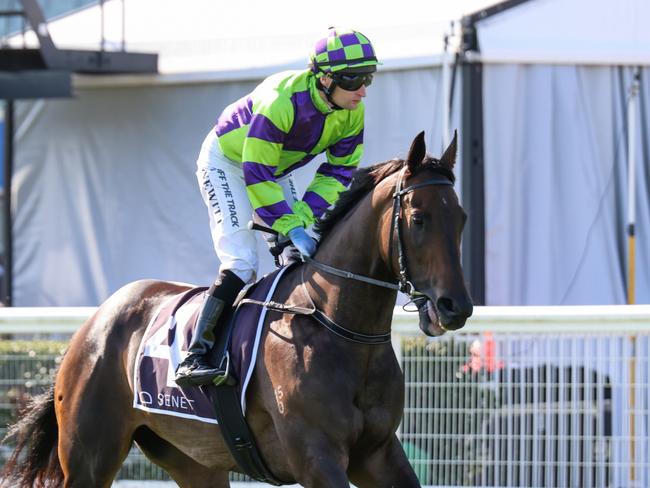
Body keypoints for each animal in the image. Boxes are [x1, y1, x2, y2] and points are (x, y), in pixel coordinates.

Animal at [3, 132, 470, 486]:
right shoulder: (317, 457)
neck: (340, 329)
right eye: (419, 218)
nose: (456, 306)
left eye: (462, 218)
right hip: (88, 456)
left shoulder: (378, 453)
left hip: (192, 460)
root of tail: (94, 323)